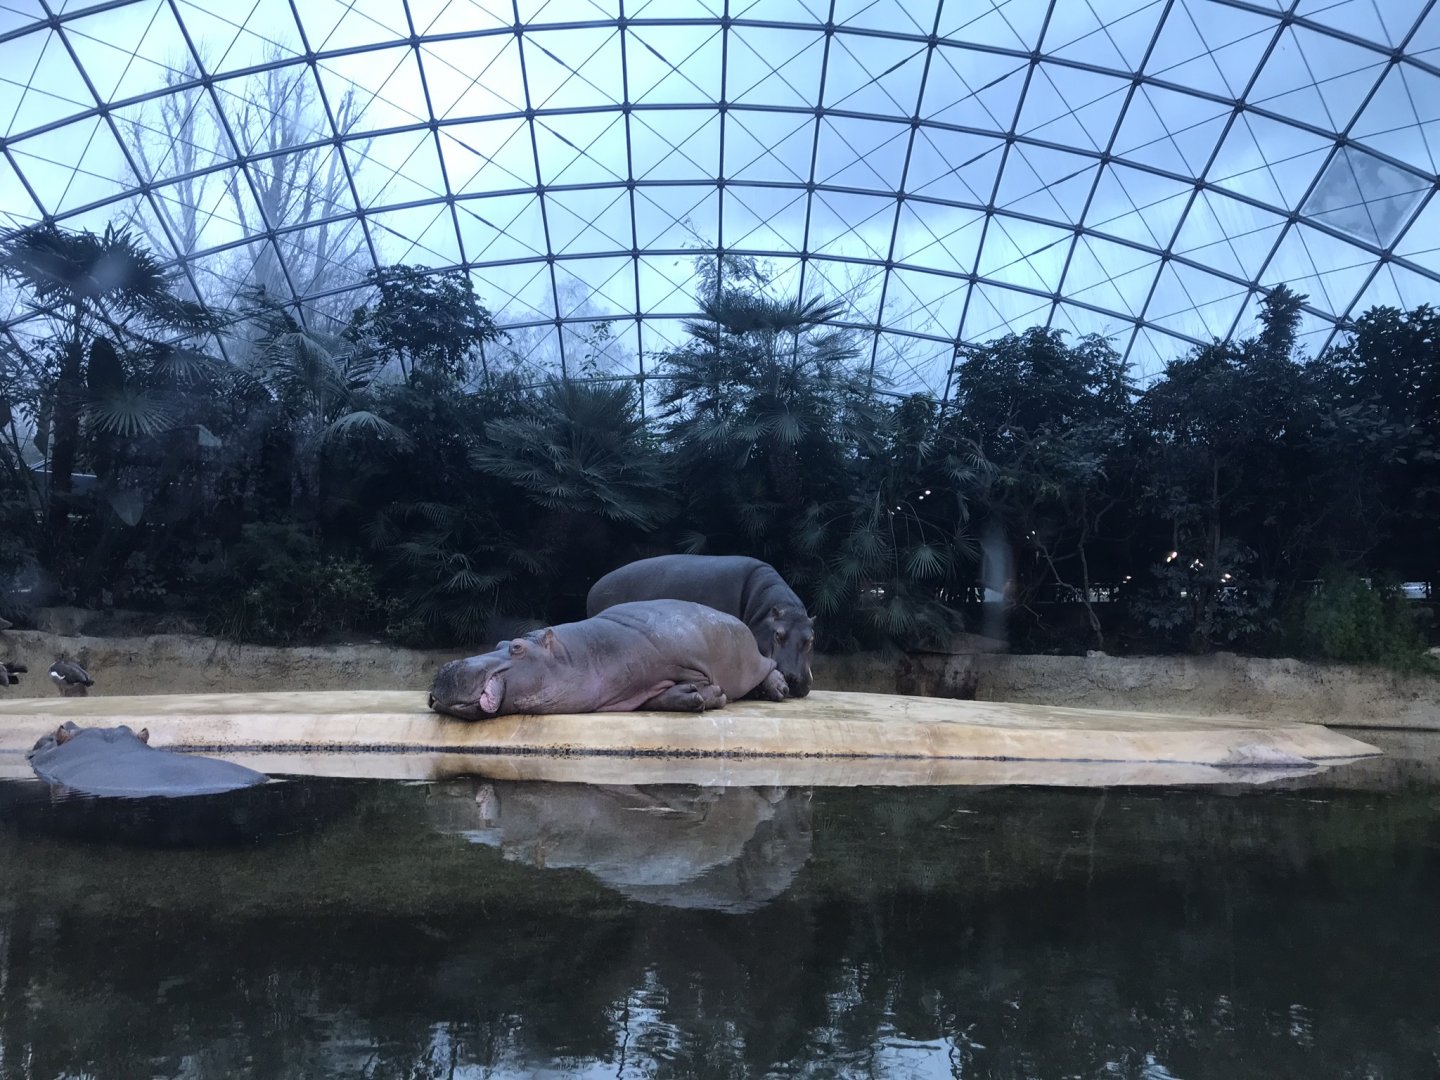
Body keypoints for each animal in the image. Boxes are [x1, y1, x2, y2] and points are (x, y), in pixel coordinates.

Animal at [429, 599, 787, 720]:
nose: (449, 666)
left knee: (767, 667)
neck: (576, 656)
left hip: (750, 659)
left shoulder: (691, 663)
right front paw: (695, 696)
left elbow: (699, 682)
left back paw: (779, 689)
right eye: (500, 642)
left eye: (516, 647)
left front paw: (708, 694)